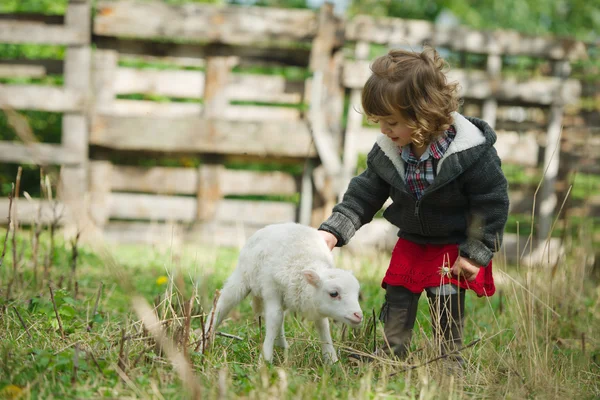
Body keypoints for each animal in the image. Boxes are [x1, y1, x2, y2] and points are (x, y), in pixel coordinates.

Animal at [203, 223, 360, 364]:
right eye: (334, 293)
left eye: (357, 294)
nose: (358, 315)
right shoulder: (271, 289)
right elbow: (274, 319)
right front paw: (266, 360)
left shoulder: (315, 304)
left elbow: (322, 325)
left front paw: (331, 360)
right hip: (242, 276)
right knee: (223, 304)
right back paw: (202, 344)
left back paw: (282, 345)